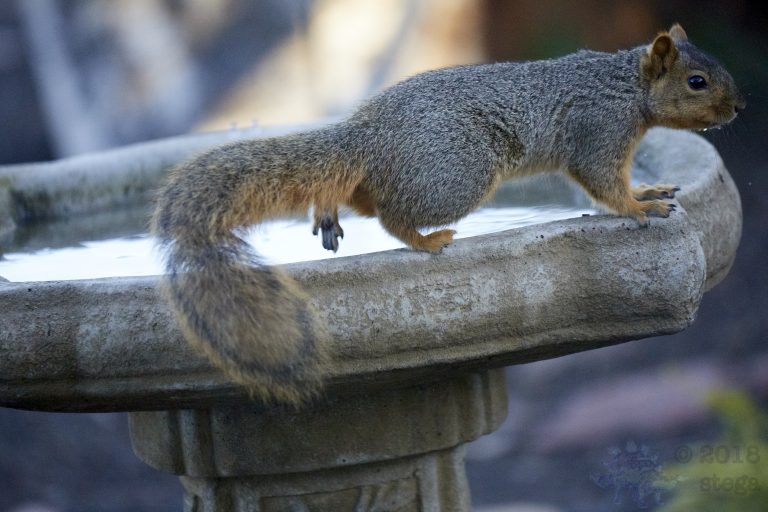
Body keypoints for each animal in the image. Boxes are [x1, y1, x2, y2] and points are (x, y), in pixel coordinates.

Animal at [152, 24, 744, 404]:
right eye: (697, 82)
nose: (740, 107)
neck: (626, 86)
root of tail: (368, 133)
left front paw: (647, 187)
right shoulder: (597, 130)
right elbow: (603, 183)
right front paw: (640, 205)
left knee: (357, 193)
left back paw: (328, 212)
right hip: (458, 174)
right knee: (391, 214)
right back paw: (426, 241)